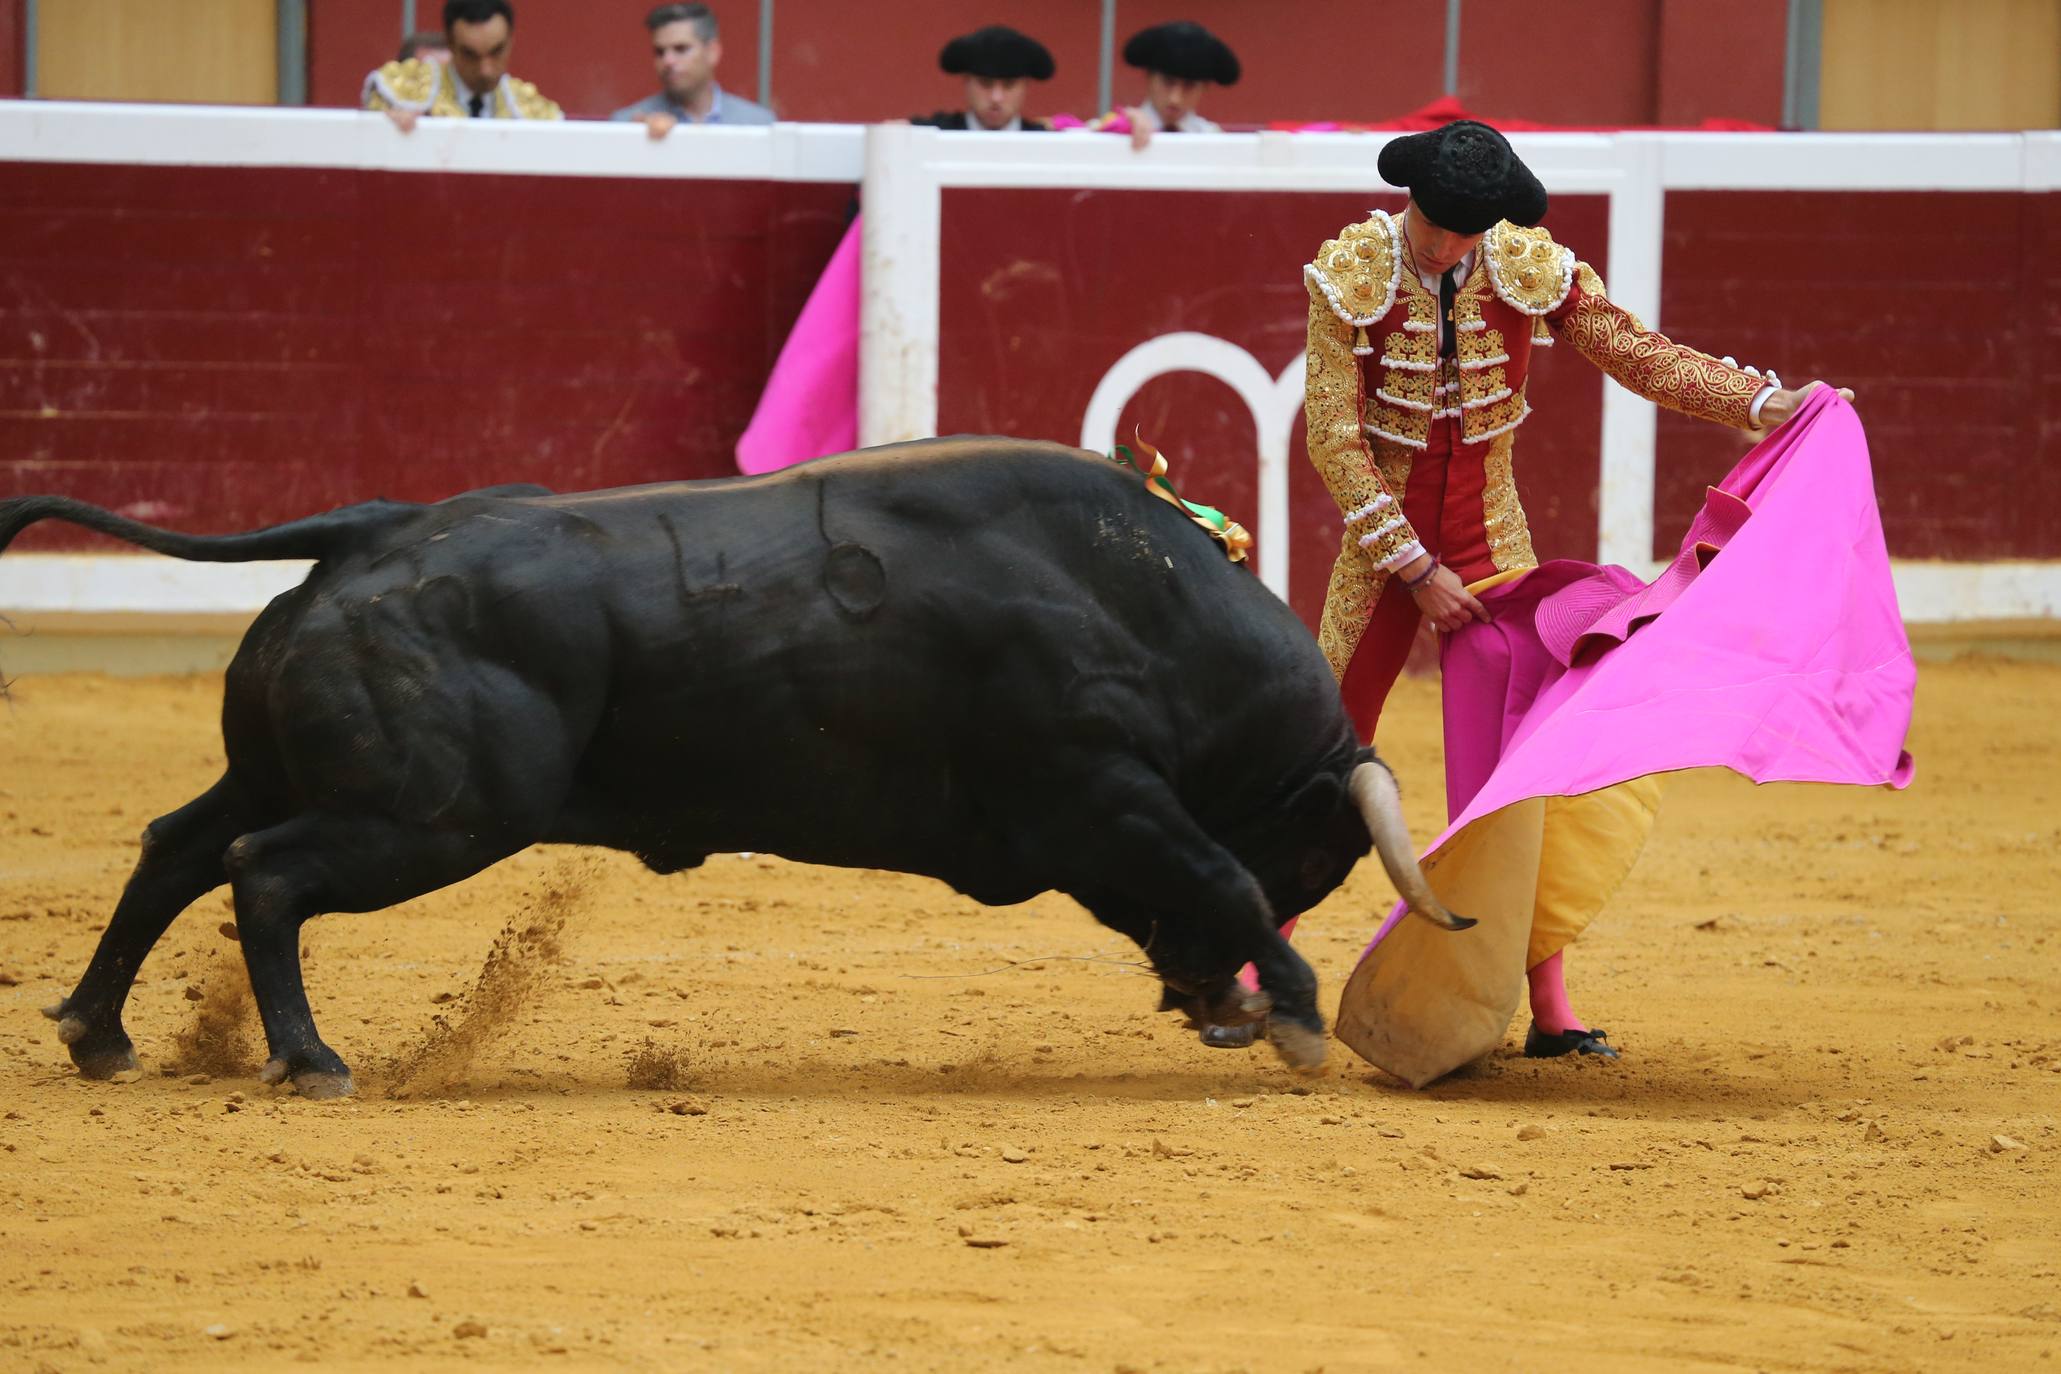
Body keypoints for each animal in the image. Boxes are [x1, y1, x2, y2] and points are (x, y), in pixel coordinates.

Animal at [0, 434, 1459, 1104]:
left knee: (178, 847)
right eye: (1314, 862)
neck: (1149, 608)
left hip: (299, 776)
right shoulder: (1107, 796)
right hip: (435, 813)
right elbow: (1217, 874)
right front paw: (1292, 1012)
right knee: (263, 873)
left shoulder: (1096, 829)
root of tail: (372, 534)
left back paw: (98, 1031)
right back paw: (309, 1058)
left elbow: (1193, 884)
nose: (1204, 1001)